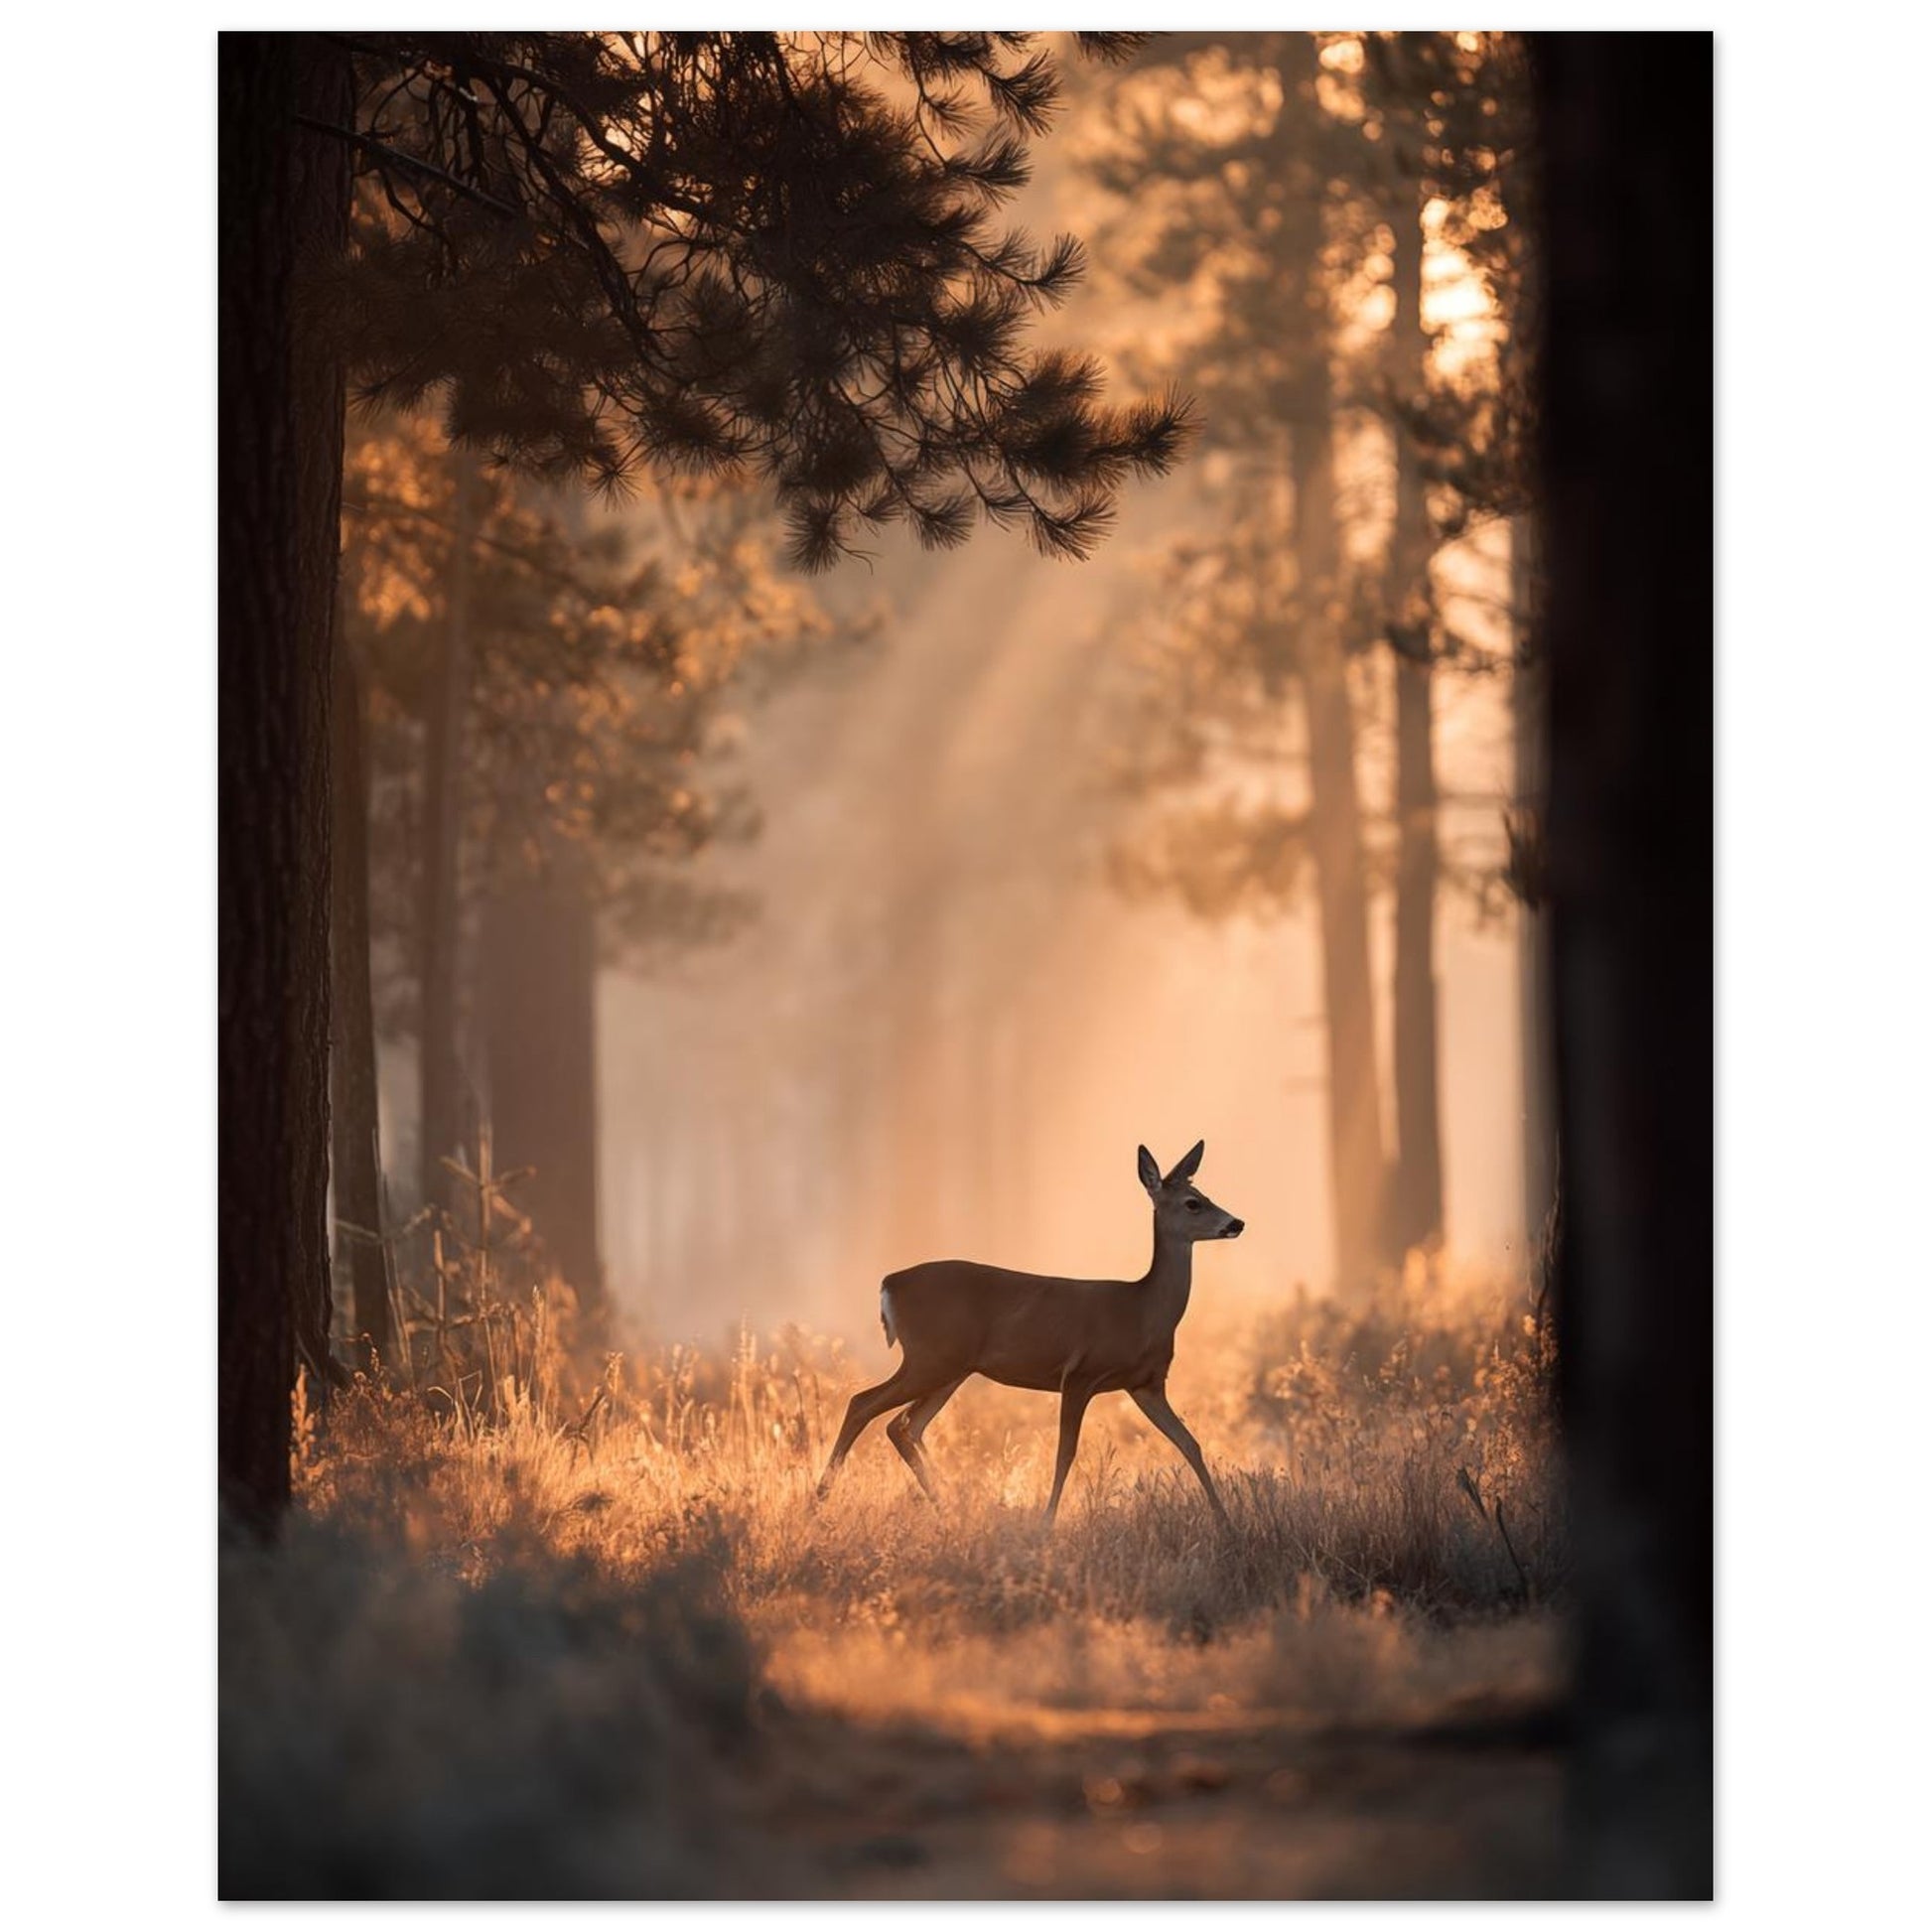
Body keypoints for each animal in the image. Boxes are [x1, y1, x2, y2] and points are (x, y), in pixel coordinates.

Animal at [815, 1140, 1243, 1526]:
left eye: (1205, 1195)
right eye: (1192, 1203)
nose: (1236, 1223)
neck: (1142, 1311)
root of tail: (889, 1283)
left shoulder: (1146, 1384)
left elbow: (1190, 1443)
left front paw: (1226, 1523)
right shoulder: (1080, 1374)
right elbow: (1065, 1453)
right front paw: (1046, 1524)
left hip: (949, 1368)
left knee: (904, 1425)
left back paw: (947, 1508)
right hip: (929, 1358)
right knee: (862, 1404)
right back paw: (819, 1500)